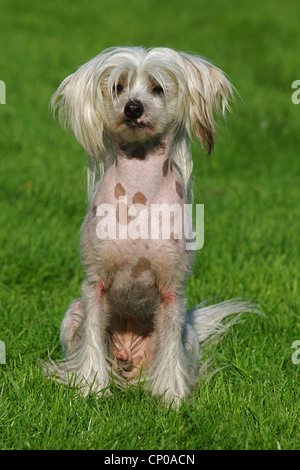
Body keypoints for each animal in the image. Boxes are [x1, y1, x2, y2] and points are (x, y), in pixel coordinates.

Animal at [45, 48, 256, 408]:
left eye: (157, 88)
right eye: (118, 87)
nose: (133, 107)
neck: (138, 196)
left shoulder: (172, 293)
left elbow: (170, 353)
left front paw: (172, 398)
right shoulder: (94, 286)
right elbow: (91, 343)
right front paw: (93, 389)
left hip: (187, 333)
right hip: (74, 313)